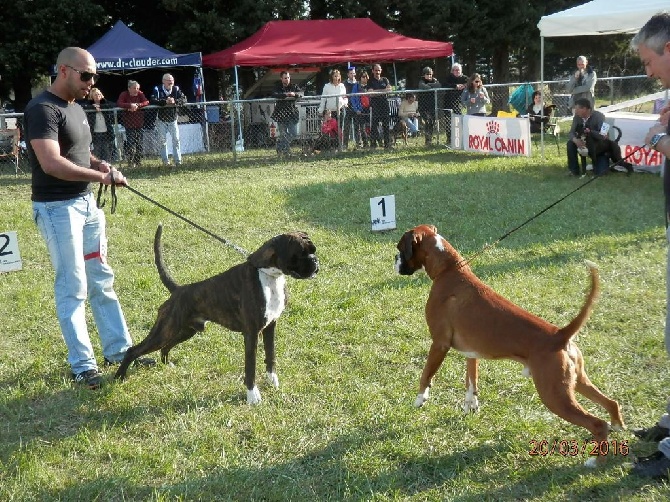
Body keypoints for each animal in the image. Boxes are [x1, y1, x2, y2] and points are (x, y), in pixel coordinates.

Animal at [115, 224, 320, 404]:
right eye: (300, 253)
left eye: (313, 251)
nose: (316, 261)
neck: (268, 276)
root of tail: (178, 290)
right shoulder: (251, 334)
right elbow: (250, 367)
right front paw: (252, 396)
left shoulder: (270, 326)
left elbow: (271, 357)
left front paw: (273, 383)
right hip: (165, 330)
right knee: (134, 350)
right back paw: (119, 377)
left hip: (185, 331)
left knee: (166, 347)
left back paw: (167, 365)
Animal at [396, 224, 628, 466]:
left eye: (400, 248)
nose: (395, 260)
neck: (449, 270)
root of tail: (560, 335)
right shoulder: (471, 353)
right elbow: (471, 381)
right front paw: (471, 405)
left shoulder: (439, 344)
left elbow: (426, 374)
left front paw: (420, 399)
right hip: (576, 382)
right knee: (611, 403)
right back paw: (618, 428)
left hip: (554, 396)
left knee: (597, 424)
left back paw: (595, 460)